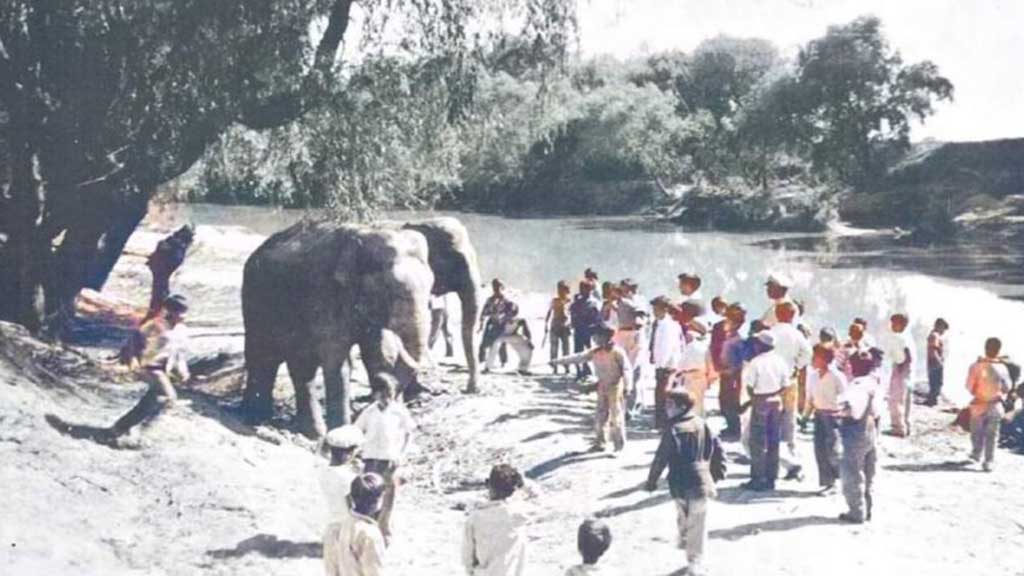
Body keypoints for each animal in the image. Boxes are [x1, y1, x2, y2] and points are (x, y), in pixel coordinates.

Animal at [240, 215, 483, 434]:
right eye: (390, 289)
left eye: (431, 283)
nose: (471, 389)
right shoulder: (324, 293)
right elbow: (336, 360)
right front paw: (343, 431)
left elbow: (377, 352)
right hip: (254, 300)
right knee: (262, 356)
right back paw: (257, 420)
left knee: (297, 365)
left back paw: (299, 428)